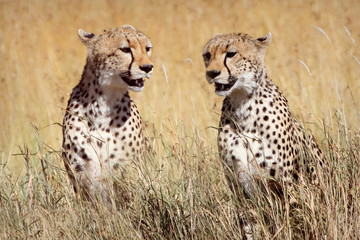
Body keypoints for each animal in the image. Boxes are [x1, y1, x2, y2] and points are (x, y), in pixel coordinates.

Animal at [62, 24, 153, 208]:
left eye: (147, 48)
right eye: (125, 49)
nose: (148, 67)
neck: (103, 105)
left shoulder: (129, 168)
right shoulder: (81, 172)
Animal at [204, 32, 324, 237]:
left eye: (231, 54)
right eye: (207, 55)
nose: (212, 73)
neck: (242, 106)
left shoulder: (285, 183)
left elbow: (293, 221)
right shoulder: (239, 185)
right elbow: (249, 226)